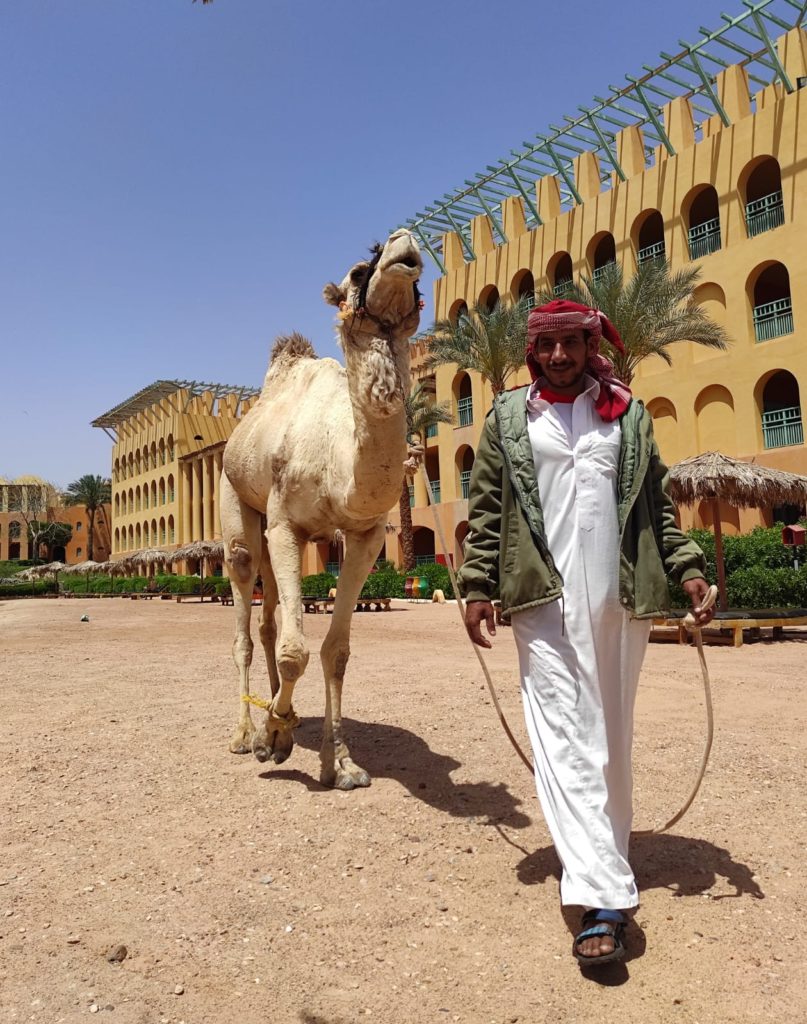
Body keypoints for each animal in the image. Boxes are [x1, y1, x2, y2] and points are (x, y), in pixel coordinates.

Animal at [220, 230, 421, 790]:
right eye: (358, 270)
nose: (404, 243)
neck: (339, 458)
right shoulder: (286, 524)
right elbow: (297, 651)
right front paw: (274, 734)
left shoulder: (366, 534)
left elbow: (336, 651)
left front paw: (340, 762)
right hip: (239, 503)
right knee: (245, 613)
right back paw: (246, 734)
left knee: (268, 622)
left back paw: (275, 720)